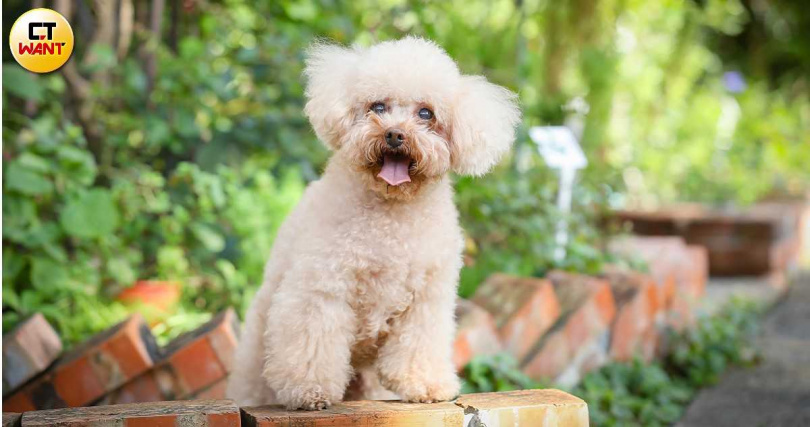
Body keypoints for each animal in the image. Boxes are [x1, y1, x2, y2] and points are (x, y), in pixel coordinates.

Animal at [226, 36, 516, 412]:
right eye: (377, 106)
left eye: (426, 113)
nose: (394, 134)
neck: (390, 219)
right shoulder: (321, 289)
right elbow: (313, 345)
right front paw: (309, 391)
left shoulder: (426, 301)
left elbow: (418, 346)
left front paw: (425, 385)